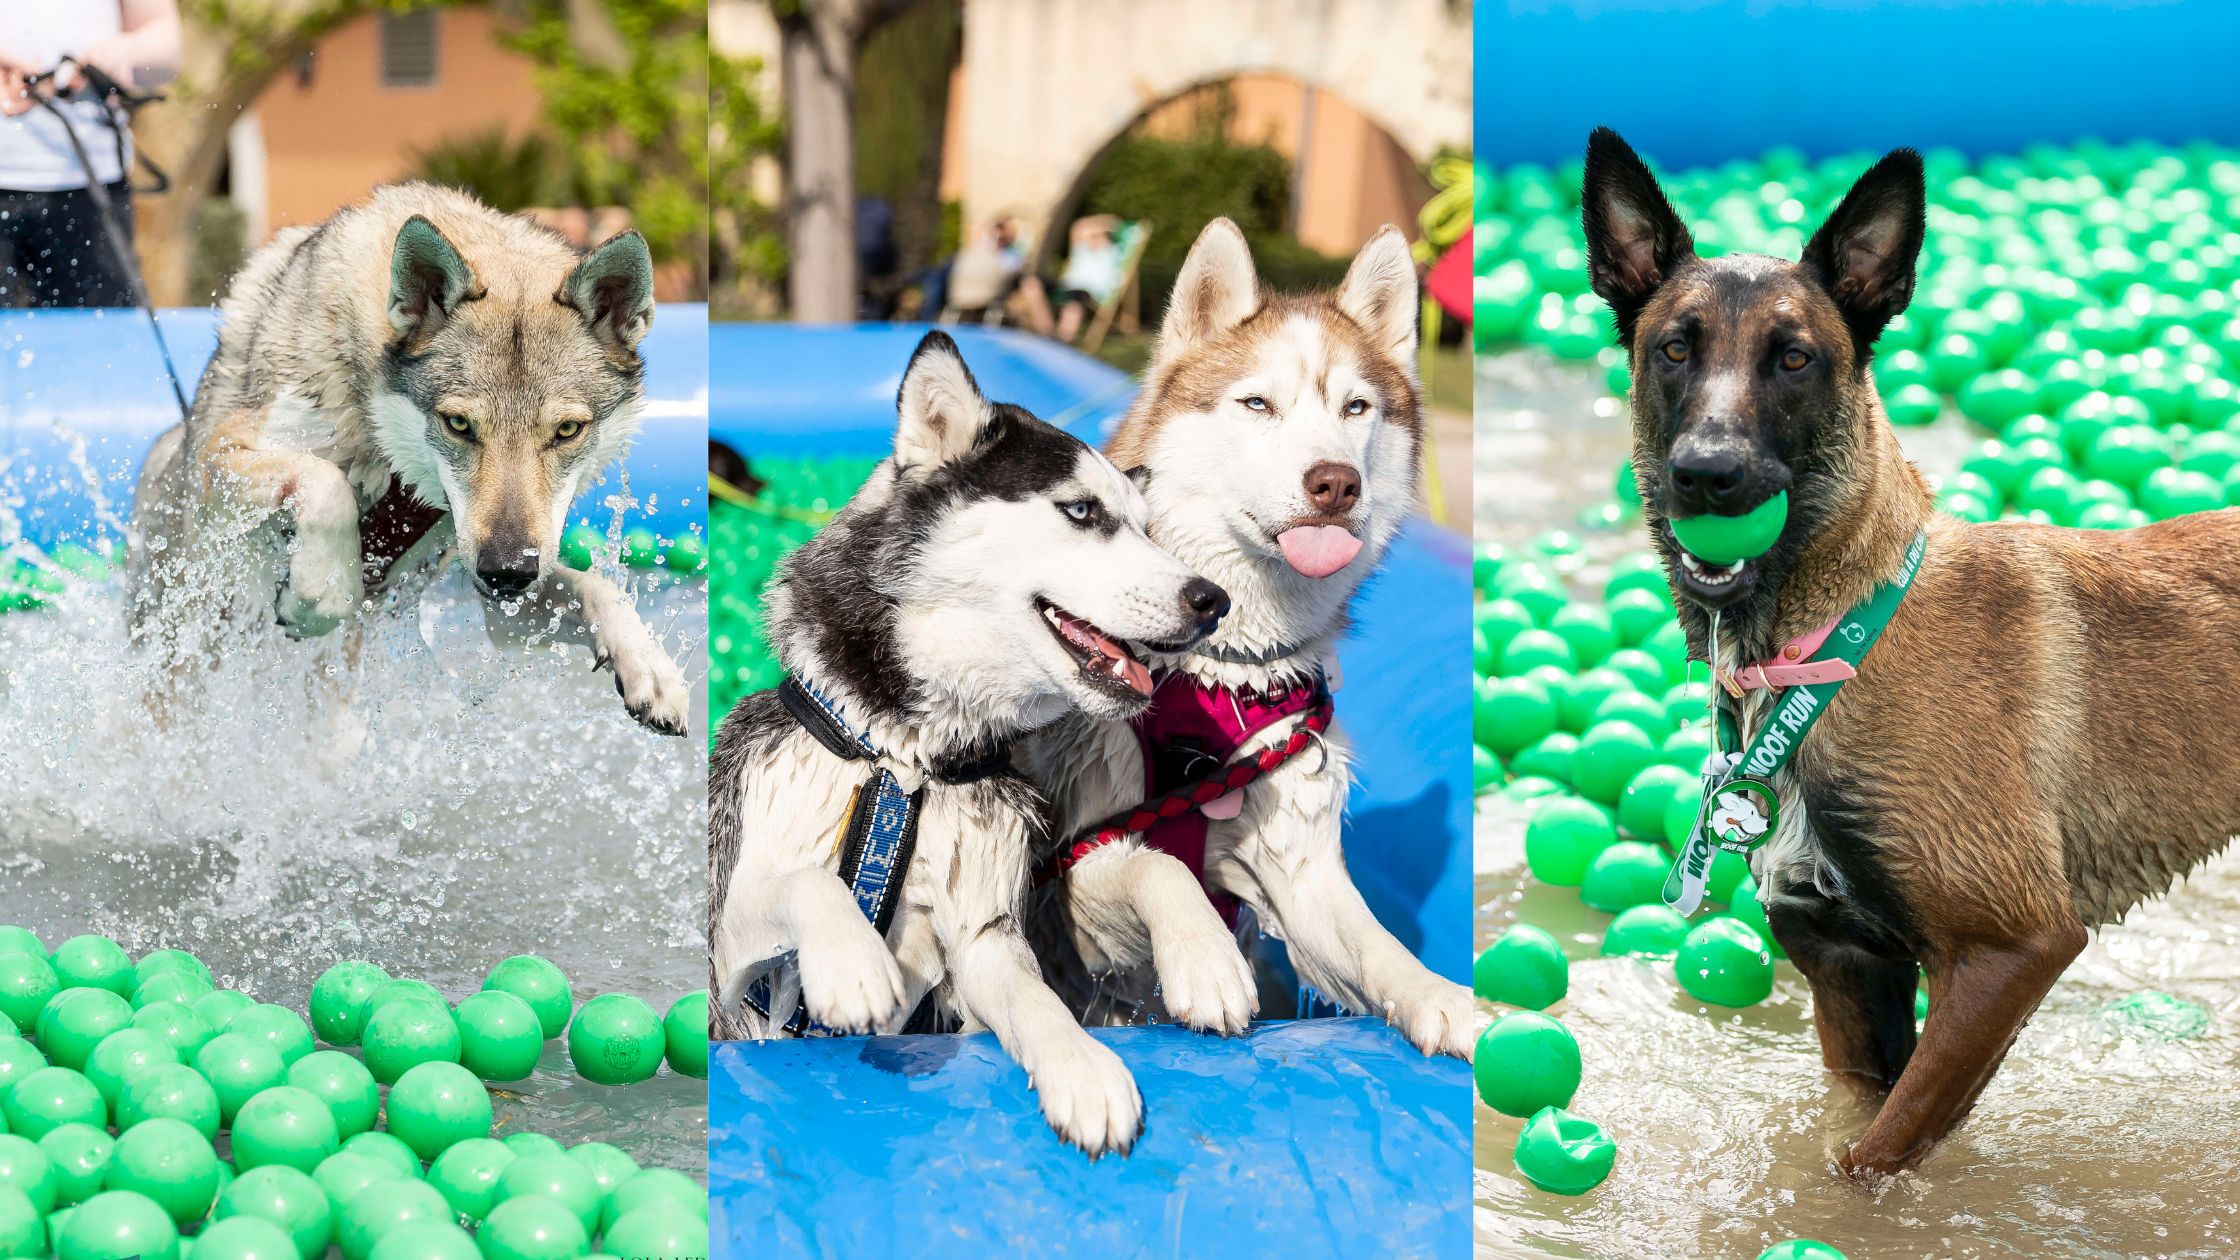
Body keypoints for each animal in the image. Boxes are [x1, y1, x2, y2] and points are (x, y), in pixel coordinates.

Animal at [1585, 122, 2240, 1174]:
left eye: (1795, 359)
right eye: (1674, 348)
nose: (1707, 476)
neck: (1828, 639)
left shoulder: (2012, 950)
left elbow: (1873, 1158)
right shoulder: (1850, 974)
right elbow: (1860, 1123)